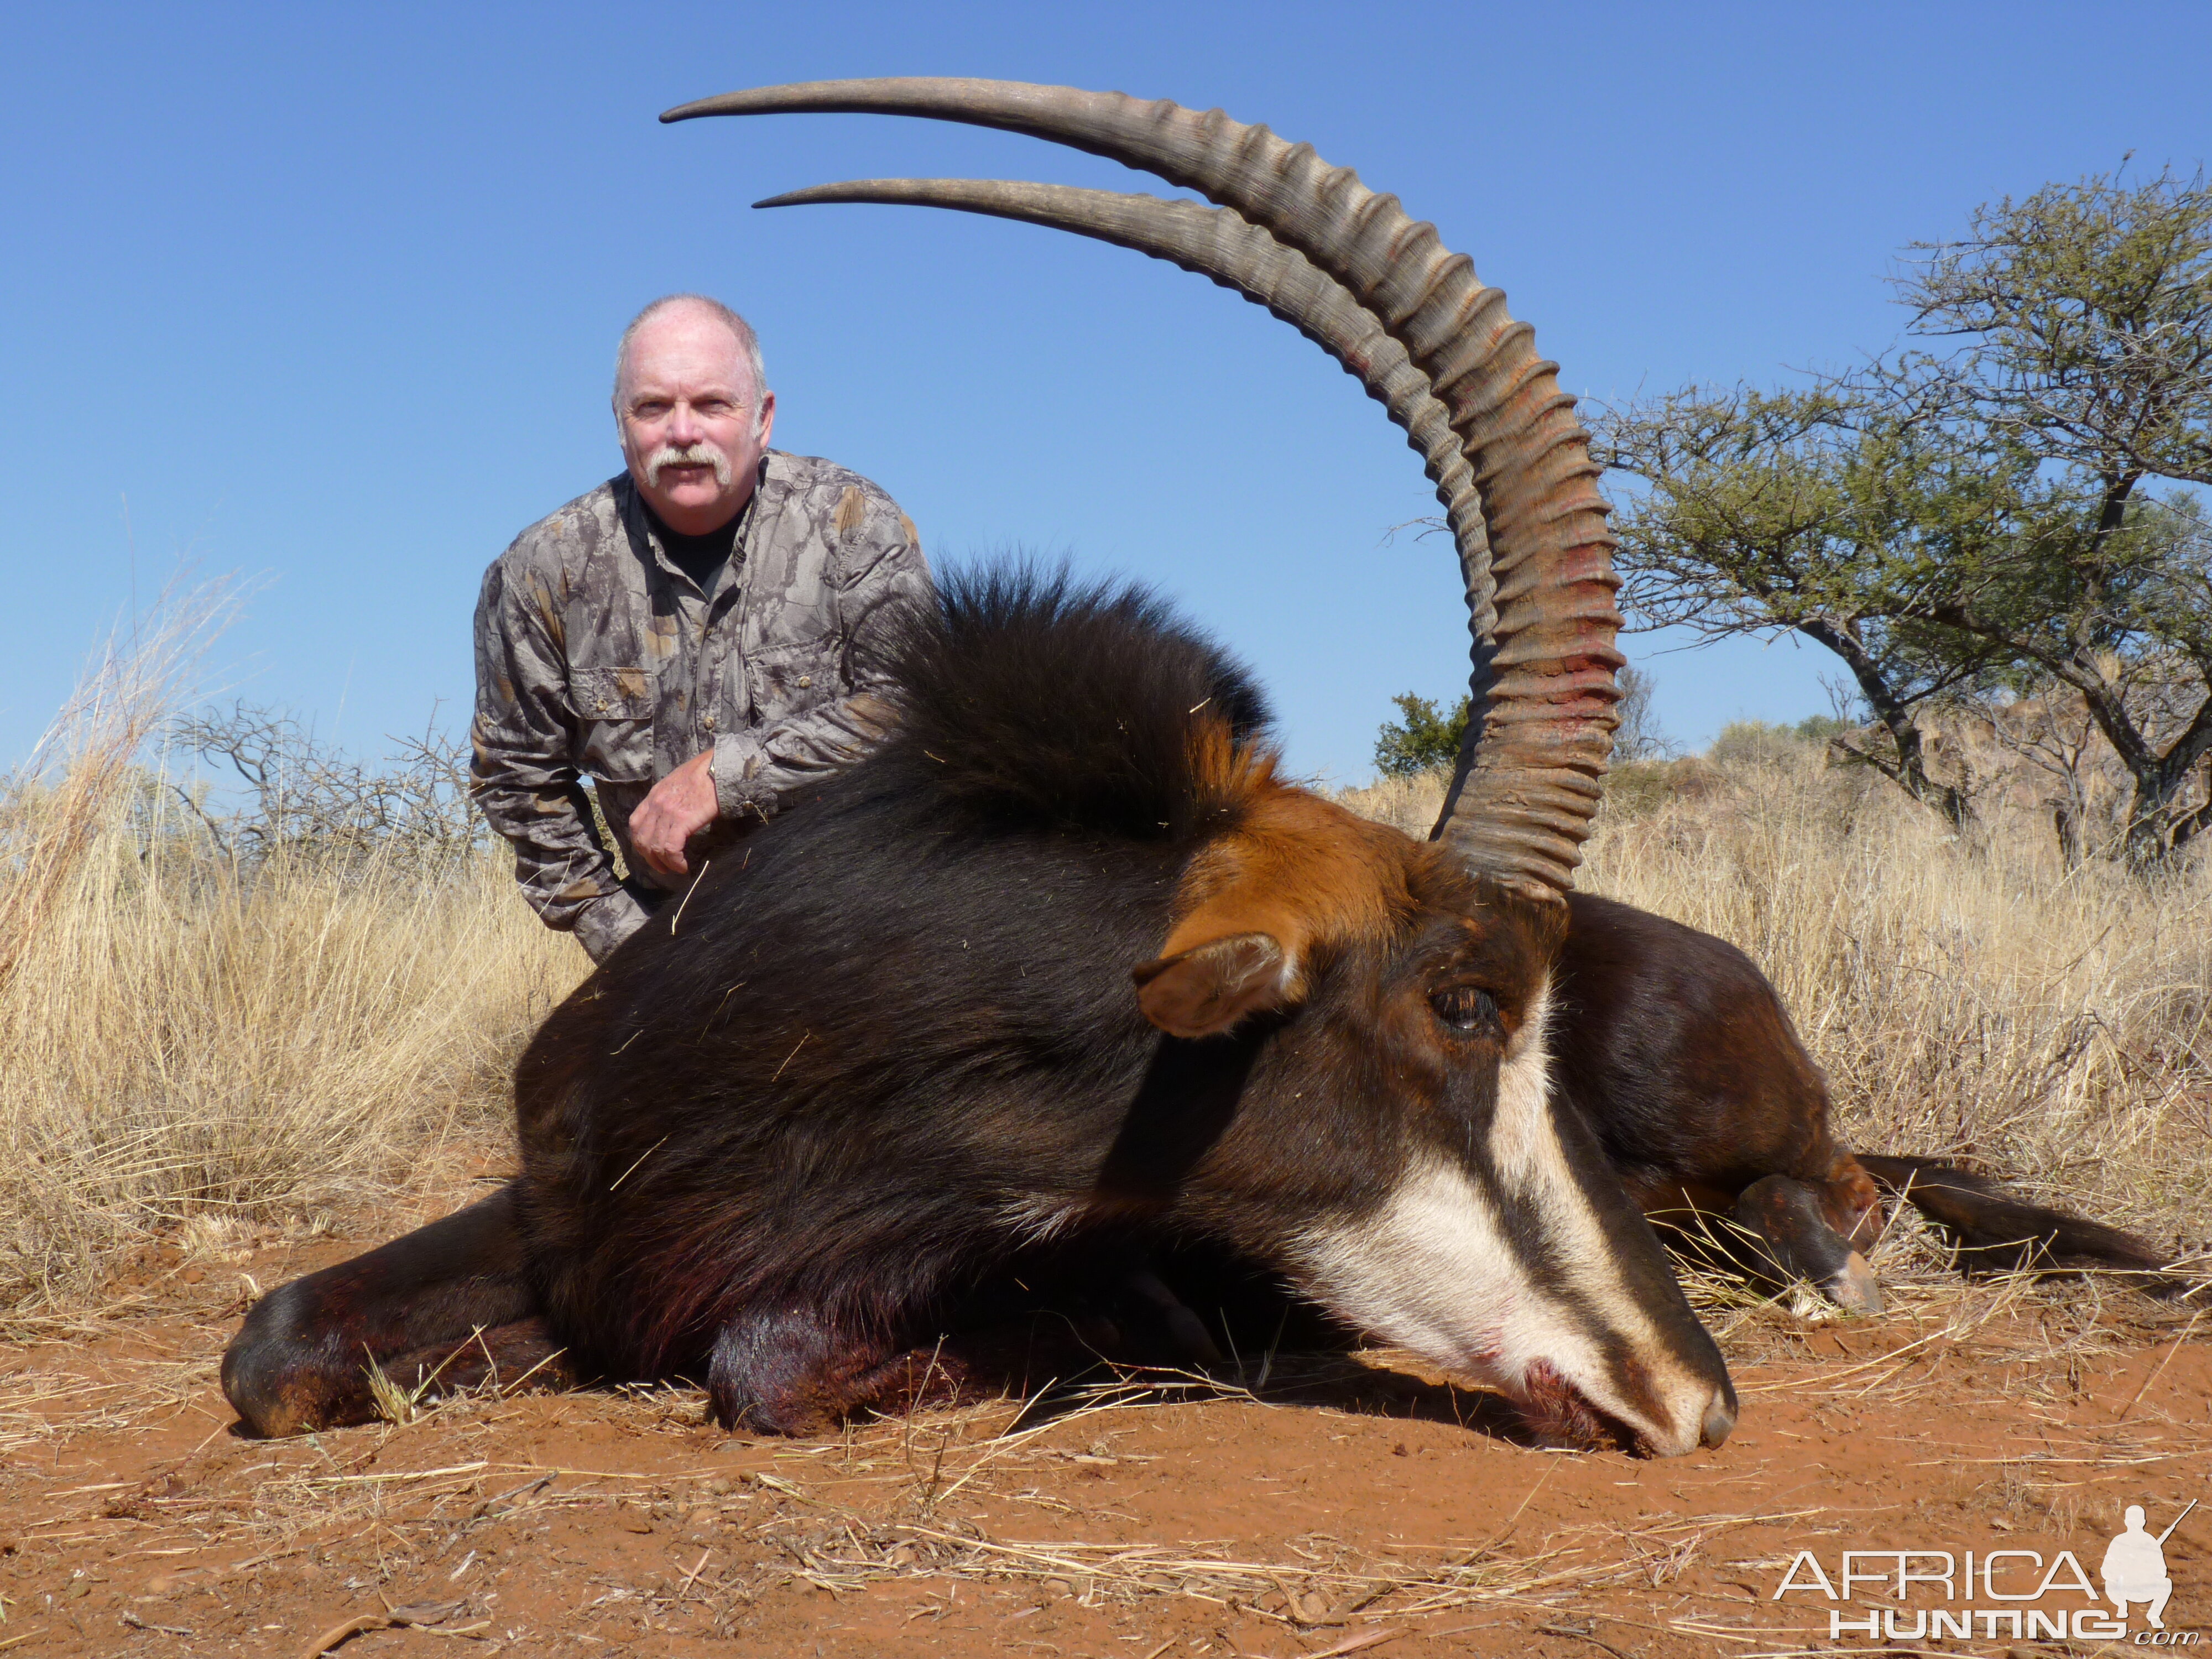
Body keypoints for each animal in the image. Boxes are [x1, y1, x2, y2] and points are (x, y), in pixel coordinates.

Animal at [220, 78, 2159, 1451]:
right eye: (1462, 1003)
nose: (1693, 1405)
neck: (831, 1030)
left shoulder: (1129, 1276)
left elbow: (766, 1359)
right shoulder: (569, 1221)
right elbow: (274, 1345)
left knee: (1841, 1196)